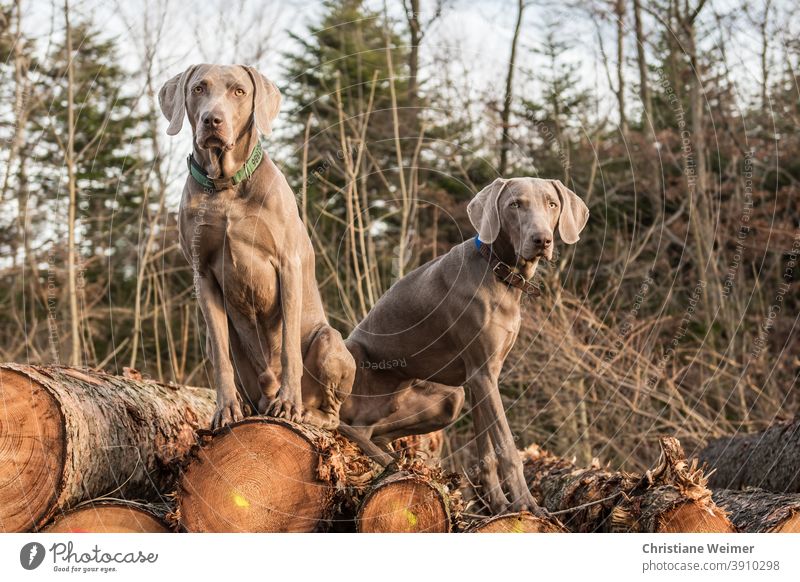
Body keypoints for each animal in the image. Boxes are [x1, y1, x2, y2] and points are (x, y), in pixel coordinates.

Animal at [159, 66, 354, 434]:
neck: (226, 186)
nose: (212, 120)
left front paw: (289, 404)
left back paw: (307, 411)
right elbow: (222, 357)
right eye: (198, 88)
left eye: (239, 91)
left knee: (334, 413)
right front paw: (225, 410)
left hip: (329, 341)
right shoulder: (203, 275)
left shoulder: (288, 265)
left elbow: (289, 346)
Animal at [342, 179, 588, 516]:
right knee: (347, 426)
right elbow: (507, 447)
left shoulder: (480, 380)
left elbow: (486, 451)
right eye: (515, 205)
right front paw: (525, 504)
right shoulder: (482, 374)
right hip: (354, 373)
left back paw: (399, 463)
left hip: (449, 400)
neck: (498, 272)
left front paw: (499, 505)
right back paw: (392, 464)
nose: (542, 240)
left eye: (552, 204)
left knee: (374, 432)